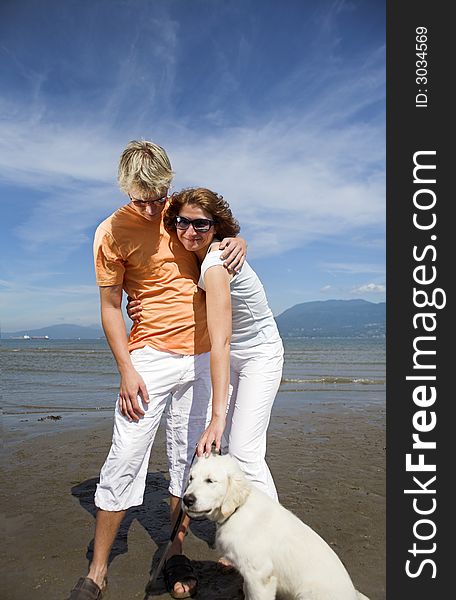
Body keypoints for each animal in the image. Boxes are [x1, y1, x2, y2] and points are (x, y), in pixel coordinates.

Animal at [181, 454, 366, 600]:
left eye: (210, 480)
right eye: (191, 478)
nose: (187, 499)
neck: (237, 510)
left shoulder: (259, 575)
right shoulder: (250, 576)